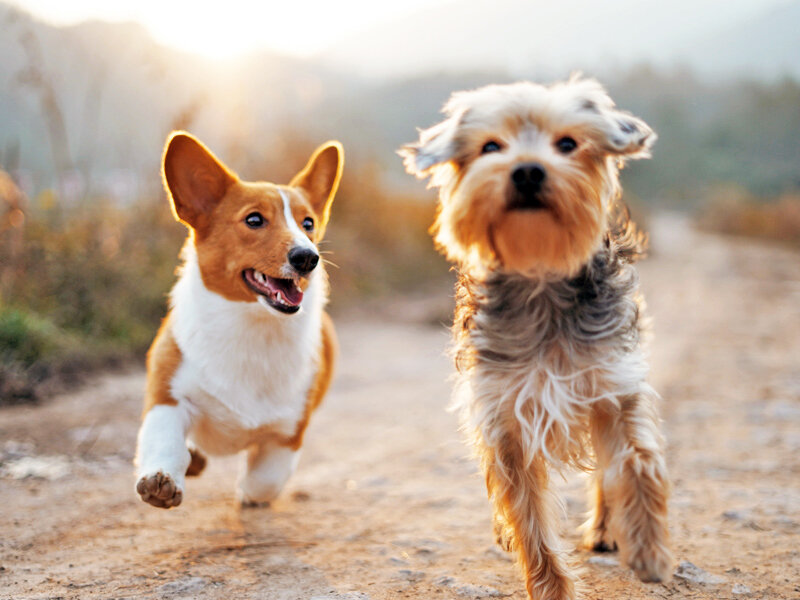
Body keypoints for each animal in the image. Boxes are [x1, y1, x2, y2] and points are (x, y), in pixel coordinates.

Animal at [132, 130, 344, 506]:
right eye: (254, 220)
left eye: (308, 223)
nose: (308, 257)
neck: (251, 325)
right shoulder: (168, 397)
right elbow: (165, 440)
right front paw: (161, 479)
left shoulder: (287, 433)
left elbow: (265, 480)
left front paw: (247, 493)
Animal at [404, 76, 672, 600]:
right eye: (491, 147)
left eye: (567, 144)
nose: (527, 171)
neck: (540, 276)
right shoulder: (504, 415)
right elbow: (528, 515)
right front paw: (551, 587)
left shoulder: (613, 384)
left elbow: (638, 460)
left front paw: (649, 546)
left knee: (606, 472)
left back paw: (607, 529)